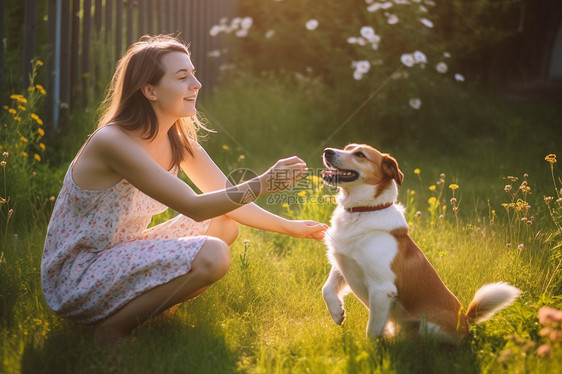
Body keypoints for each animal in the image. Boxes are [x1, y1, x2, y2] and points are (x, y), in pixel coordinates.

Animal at [320, 144, 520, 342]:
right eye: (347, 147)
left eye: (360, 155)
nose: (327, 151)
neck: (364, 210)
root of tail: (466, 321)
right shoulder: (343, 264)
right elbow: (327, 289)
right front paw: (337, 313)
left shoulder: (382, 289)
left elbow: (372, 331)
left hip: (427, 327)